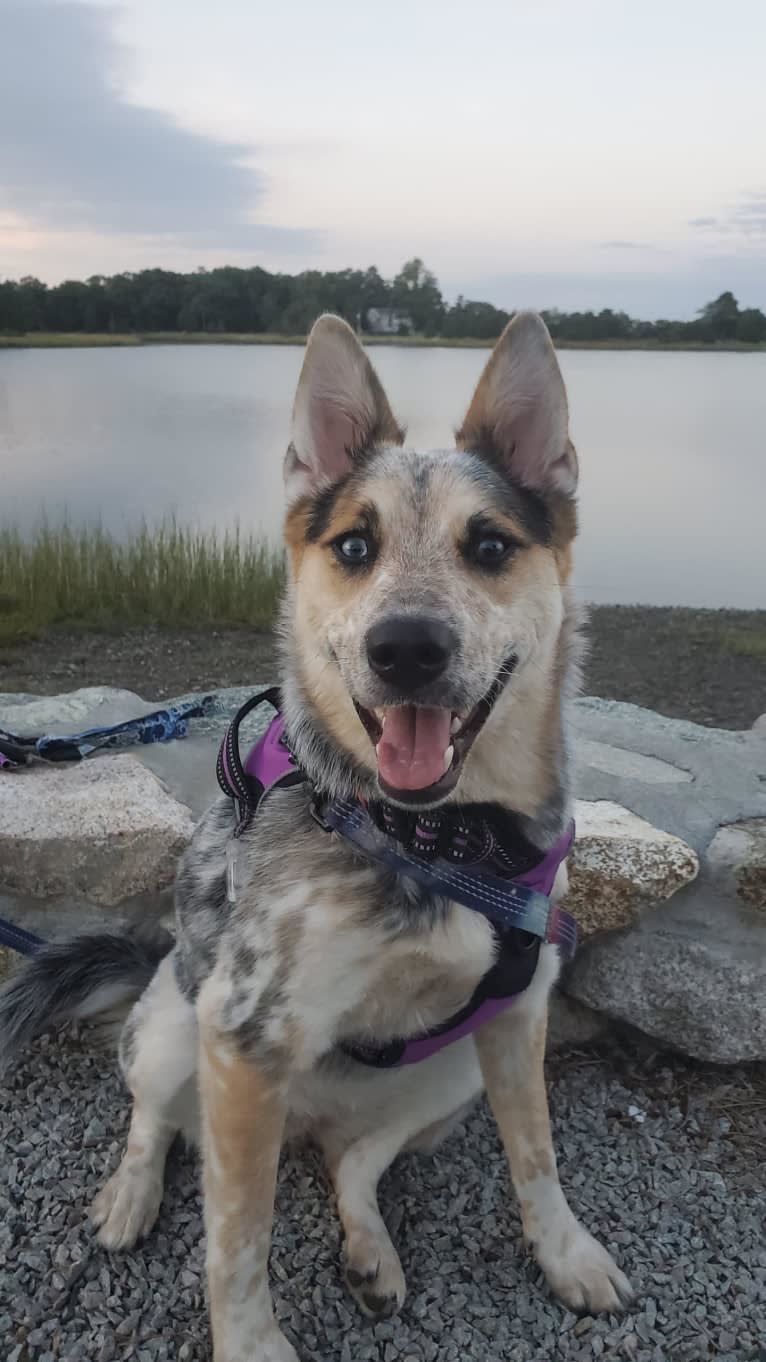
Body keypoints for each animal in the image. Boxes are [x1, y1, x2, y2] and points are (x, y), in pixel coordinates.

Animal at [1, 311, 632, 1362]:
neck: (445, 841)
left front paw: (568, 1254)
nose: (406, 648)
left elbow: (537, 1154)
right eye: (354, 545)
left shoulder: (517, 1012)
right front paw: (251, 1343)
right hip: (175, 1034)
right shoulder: (244, 1036)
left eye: (490, 544)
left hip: (444, 1076)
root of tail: (303, 1117)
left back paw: (370, 1248)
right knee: (154, 1122)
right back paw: (131, 1194)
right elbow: (236, 1242)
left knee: (354, 1160)